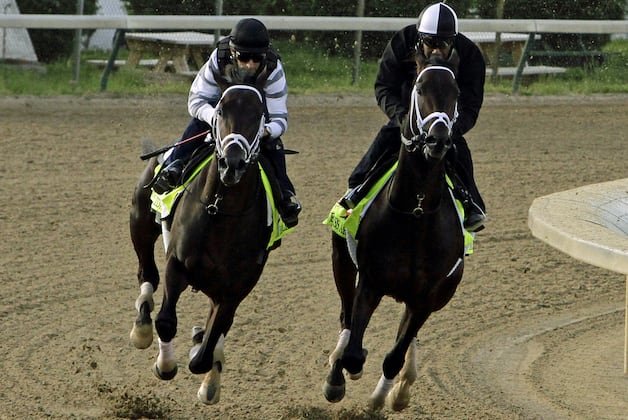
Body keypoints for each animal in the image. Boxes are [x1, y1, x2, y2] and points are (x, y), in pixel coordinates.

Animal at [129, 81, 272, 404]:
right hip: (139, 220)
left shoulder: (233, 291)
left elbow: (206, 352)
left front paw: (203, 353)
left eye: (259, 114)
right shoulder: (177, 264)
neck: (220, 210)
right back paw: (142, 327)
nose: (232, 163)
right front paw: (165, 365)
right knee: (147, 274)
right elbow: (167, 321)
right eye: (221, 109)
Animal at [324, 51, 466, 410]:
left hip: (442, 293)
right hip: (341, 259)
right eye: (420, 86)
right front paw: (342, 374)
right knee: (346, 316)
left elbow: (395, 353)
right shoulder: (371, 281)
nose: (438, 139)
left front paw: (382, 397)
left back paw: (402, 385)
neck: (415, 213)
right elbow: (354, 348)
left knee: (407, 334)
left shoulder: (428, 296)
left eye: (456, 91)